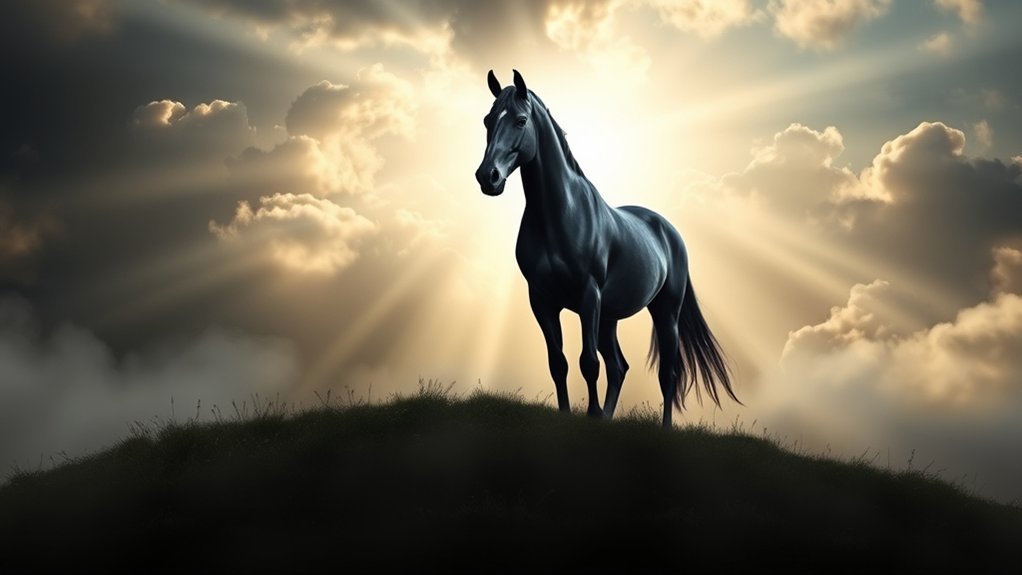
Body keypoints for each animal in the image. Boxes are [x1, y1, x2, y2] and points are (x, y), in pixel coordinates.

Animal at [474, 70, 739, 428]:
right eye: (488, 120)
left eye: (520, 120)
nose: (487, 177)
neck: (559, 215)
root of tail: (669, 231)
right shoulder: (541, 301)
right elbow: (558, 363)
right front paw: (573, 415)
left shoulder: (589, 296)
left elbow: (588, 362)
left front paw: (592, 414)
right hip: (609, 317)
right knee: (619, 367)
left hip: (664, 312)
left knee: (666, 374)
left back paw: (663, 428)